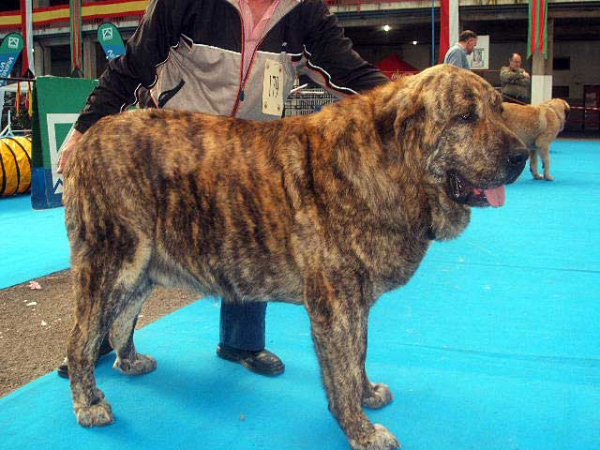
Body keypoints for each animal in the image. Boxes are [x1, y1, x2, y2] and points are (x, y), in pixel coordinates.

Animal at [63, 64, 528, 450]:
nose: (521, 156)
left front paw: (367, 394)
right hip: (112, 264)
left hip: (140, 270)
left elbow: (359, 355)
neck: (389, 166)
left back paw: (129, 362)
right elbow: (342, 371)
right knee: (81, 340)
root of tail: (88, 140)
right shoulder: (336, 305)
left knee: (120, 322)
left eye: (498, 109)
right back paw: (88, 403)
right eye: (465, 117)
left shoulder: (356, 301)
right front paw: (360, 431)